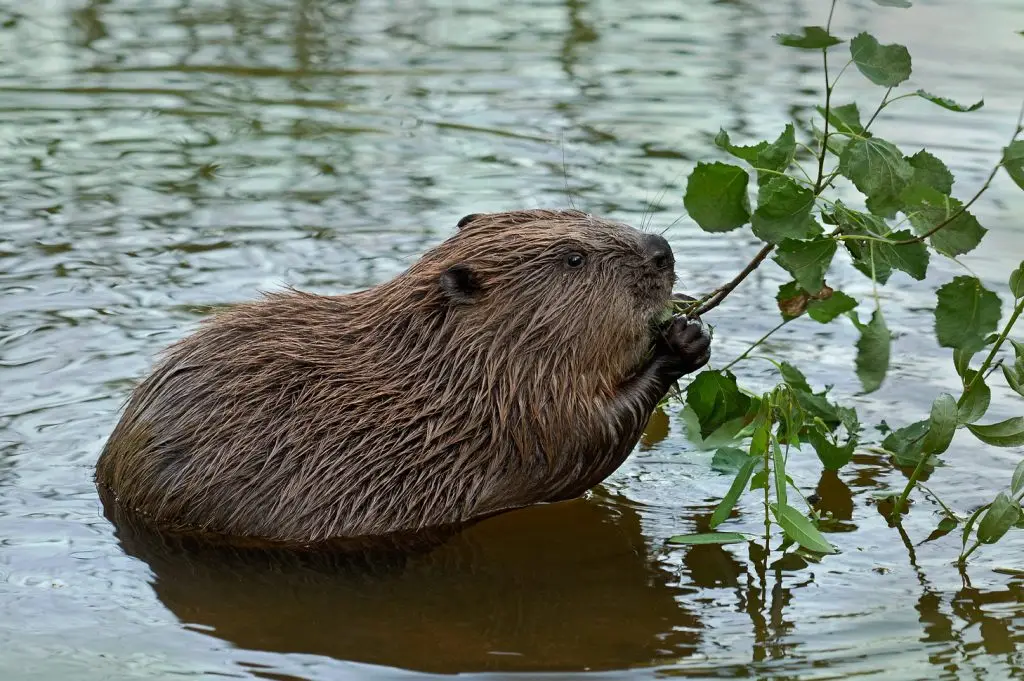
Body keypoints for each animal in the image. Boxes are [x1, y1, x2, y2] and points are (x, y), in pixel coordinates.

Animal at [96, 209, 708, 544]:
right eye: (573, 259)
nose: (661, 250)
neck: (452, 364)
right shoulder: (517, 413)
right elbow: (584, 443)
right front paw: (681, 341)